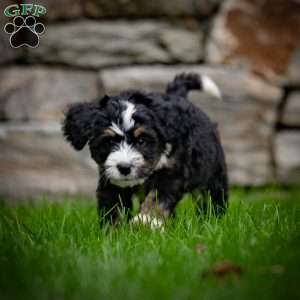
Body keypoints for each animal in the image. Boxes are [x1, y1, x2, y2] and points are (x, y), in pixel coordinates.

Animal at [62, 72, 227, 227]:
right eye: (109, 141)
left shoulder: (171, 172)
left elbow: (156, 198)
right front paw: (114, 232)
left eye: (142, 141)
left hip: (213, 174)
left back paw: (213, 220)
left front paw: (147, 220)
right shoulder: (109, 179)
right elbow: (113, 207)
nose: (124, 167)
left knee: (212, 198)